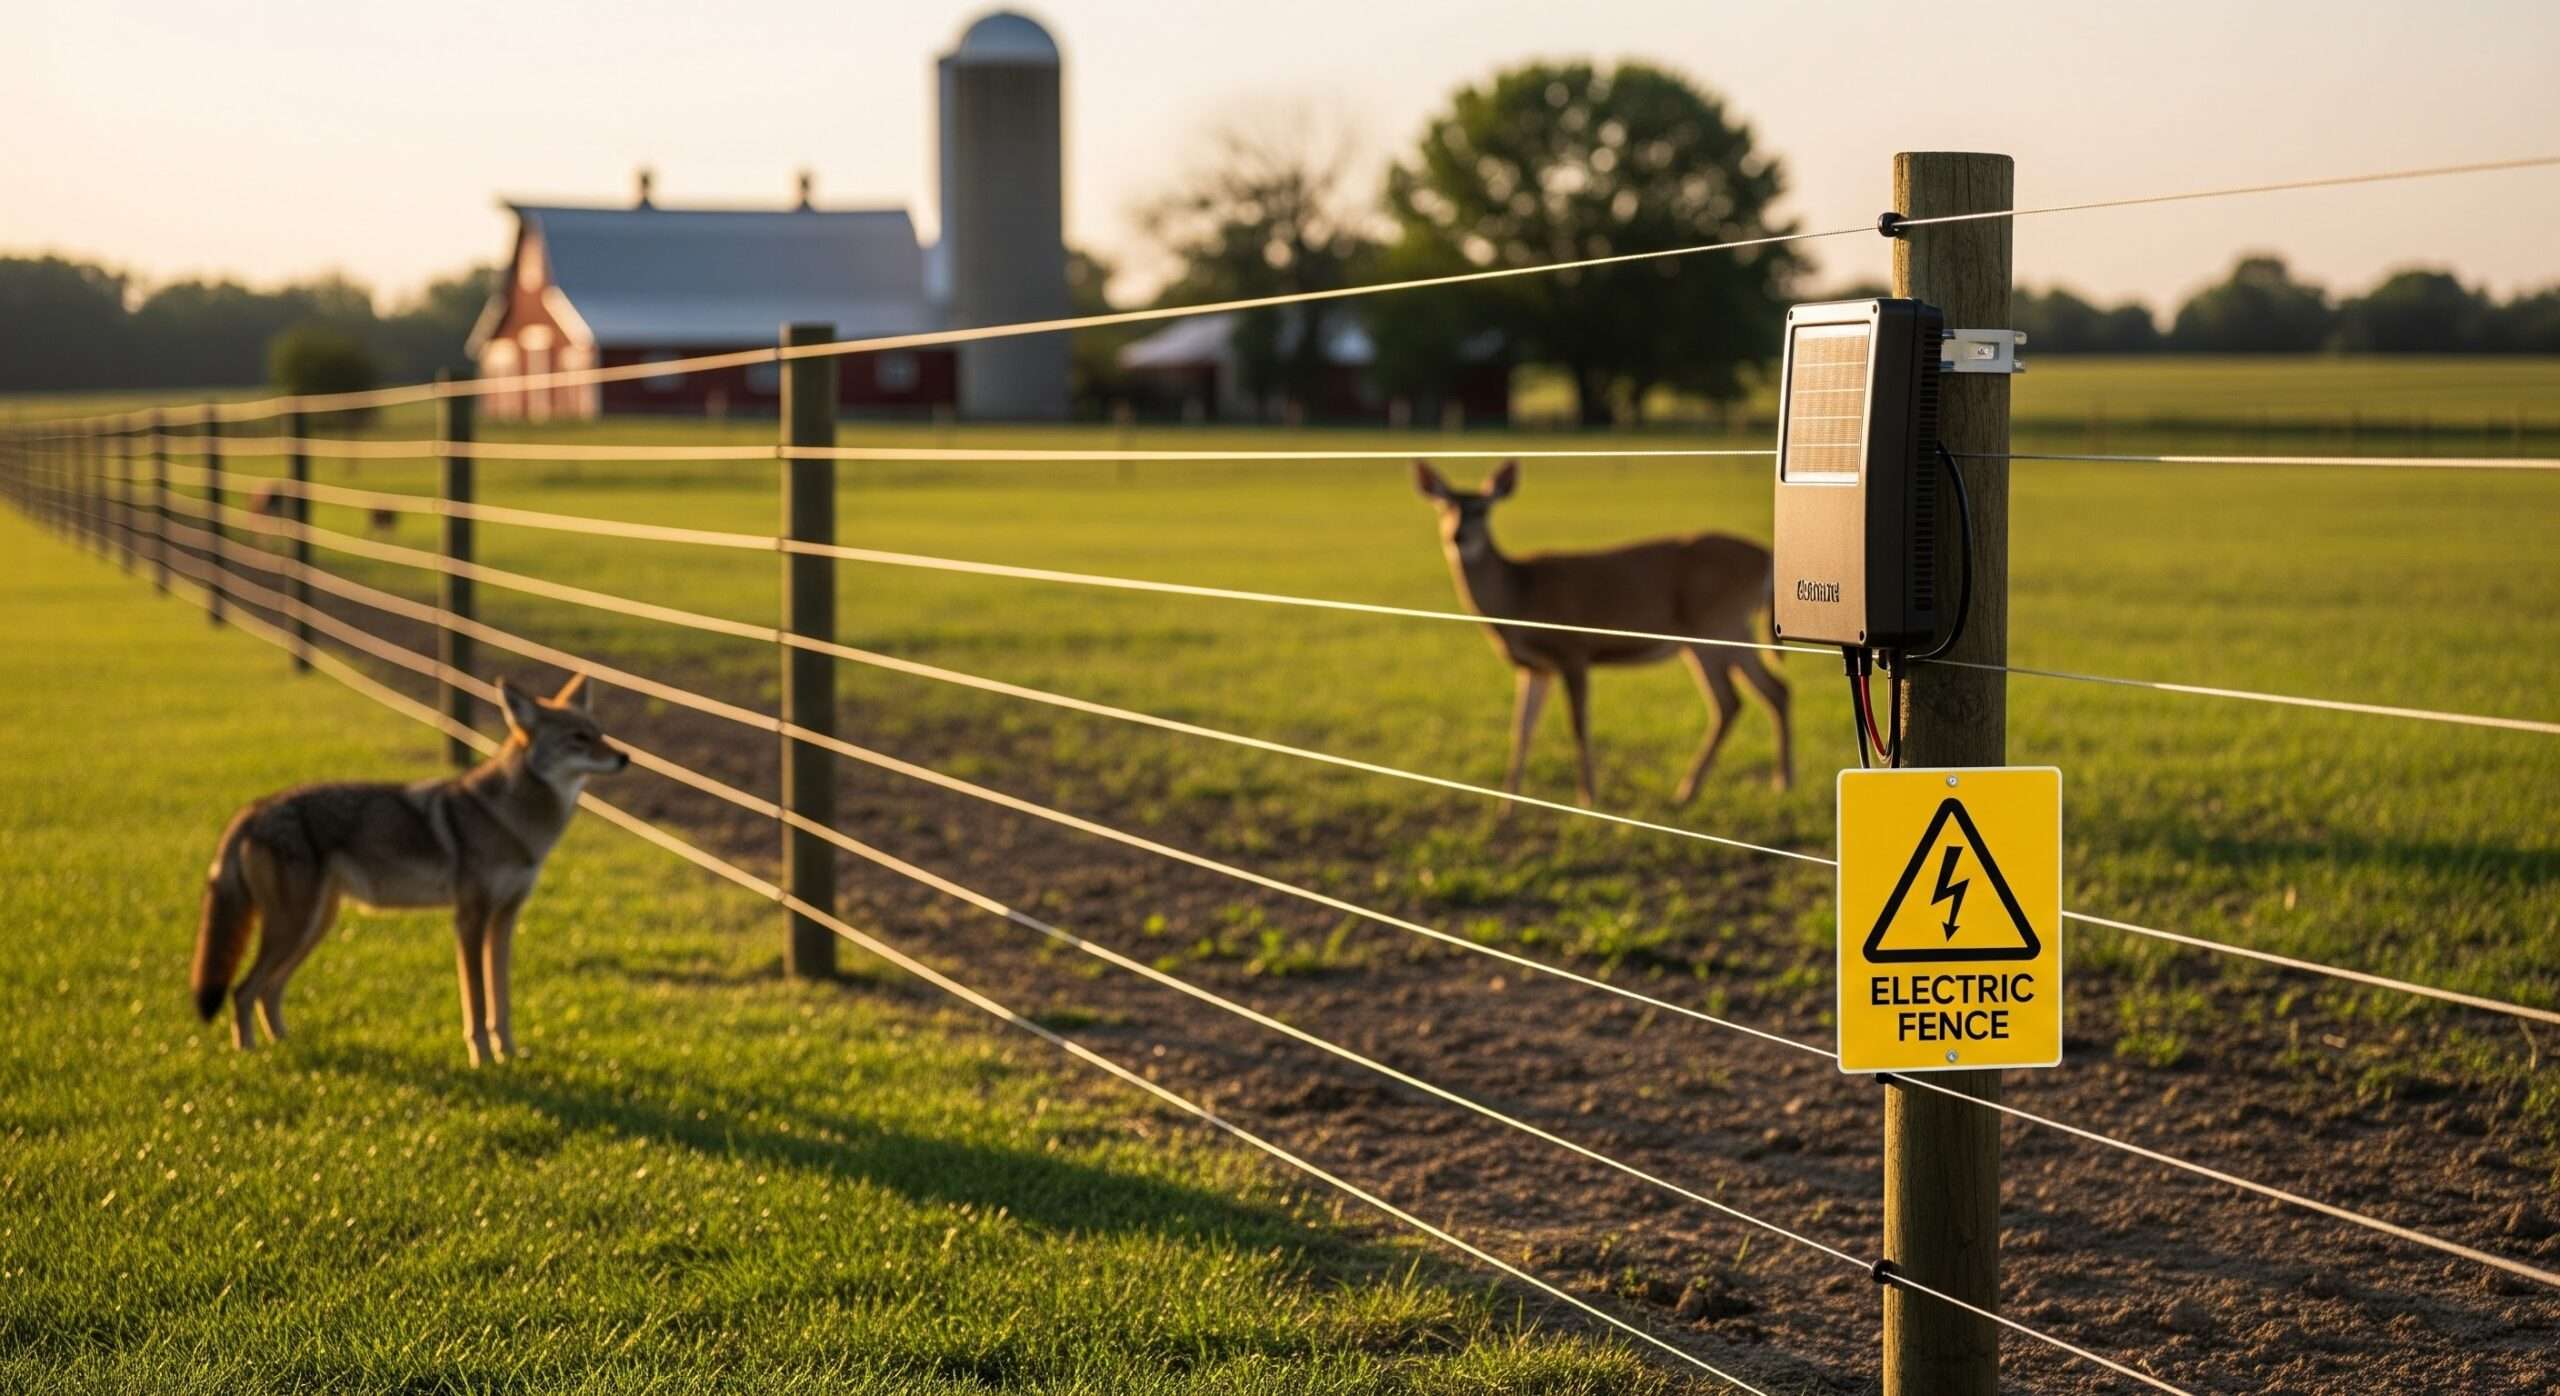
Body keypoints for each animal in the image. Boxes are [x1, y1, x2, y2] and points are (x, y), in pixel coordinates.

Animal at [1413, 460, 1792, 808]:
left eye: (1483, 509)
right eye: (1444, 505)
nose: (1457, 536)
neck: (1519, 595)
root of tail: (1767, 557)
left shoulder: (1574, 651)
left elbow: (1578, 724)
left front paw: (1587, 798)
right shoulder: (1535, 666)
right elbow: (1521, 729)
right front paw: (1508, 805)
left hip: (1716, 625)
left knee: (1732, 700)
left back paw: (1692, 792)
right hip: (1728, 630)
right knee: (1771, 691)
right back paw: (1776, 783)